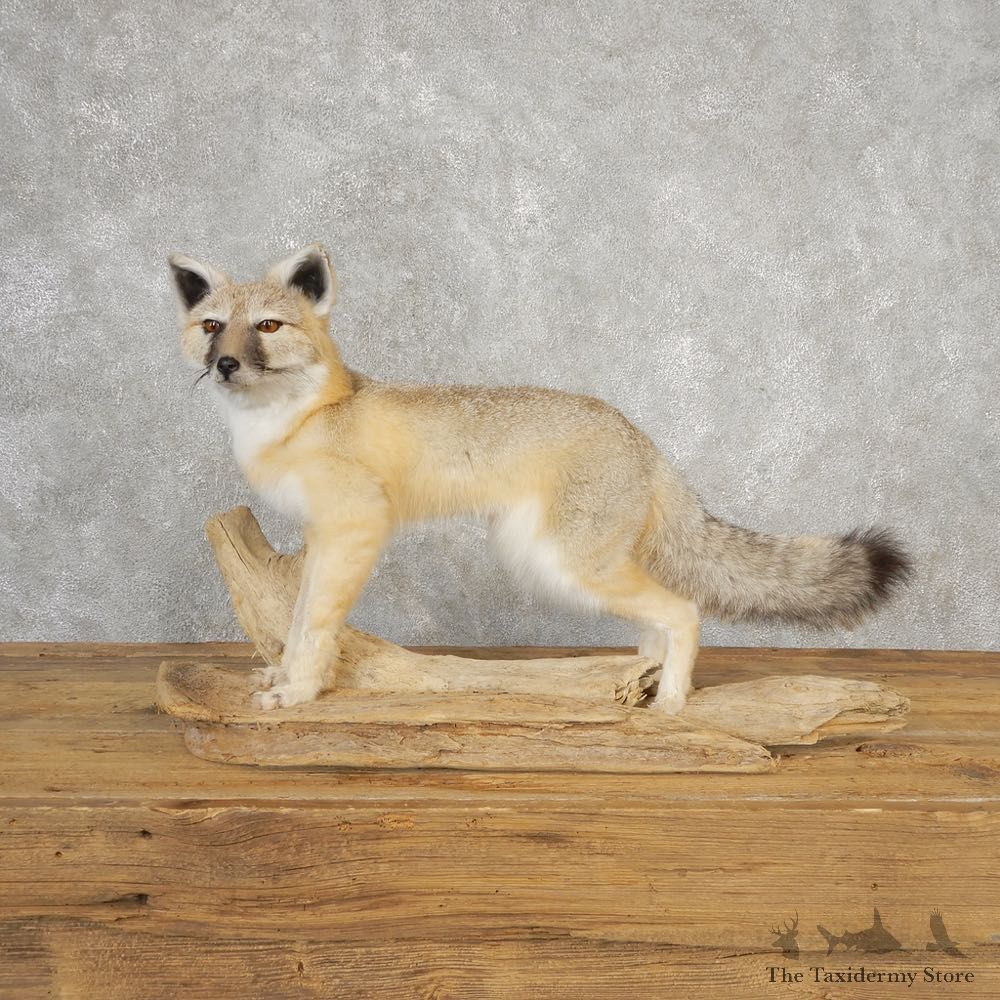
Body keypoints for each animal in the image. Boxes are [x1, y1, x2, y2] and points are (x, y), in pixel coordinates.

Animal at [168, 244, 912, 713]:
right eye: (212, 327)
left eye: (268, 326)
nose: (226, 364)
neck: (297, 419)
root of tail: (644, 439)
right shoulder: (319, 539)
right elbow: (296, 623)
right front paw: (286, 675)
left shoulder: (355, 528)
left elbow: (317, 628)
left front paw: (299, 693)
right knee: (657, 624)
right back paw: (637, 683)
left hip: (562, 564)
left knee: (683, 611)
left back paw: (670, 701)